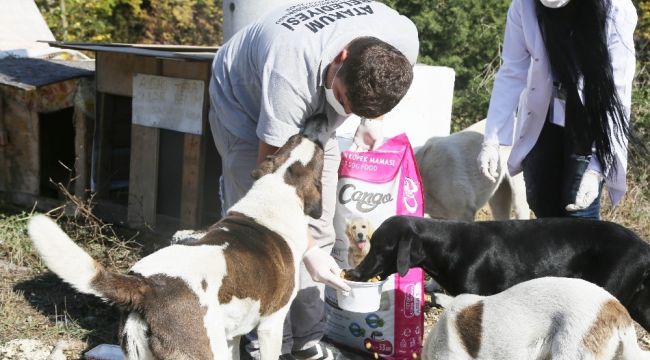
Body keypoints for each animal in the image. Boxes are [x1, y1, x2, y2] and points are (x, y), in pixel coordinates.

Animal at [27, 133, 324, 360]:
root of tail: (146, 286)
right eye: (321, 156)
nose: (311, 134)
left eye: (290, 140)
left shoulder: (232, 335)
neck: (278, 186)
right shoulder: (271, 325)